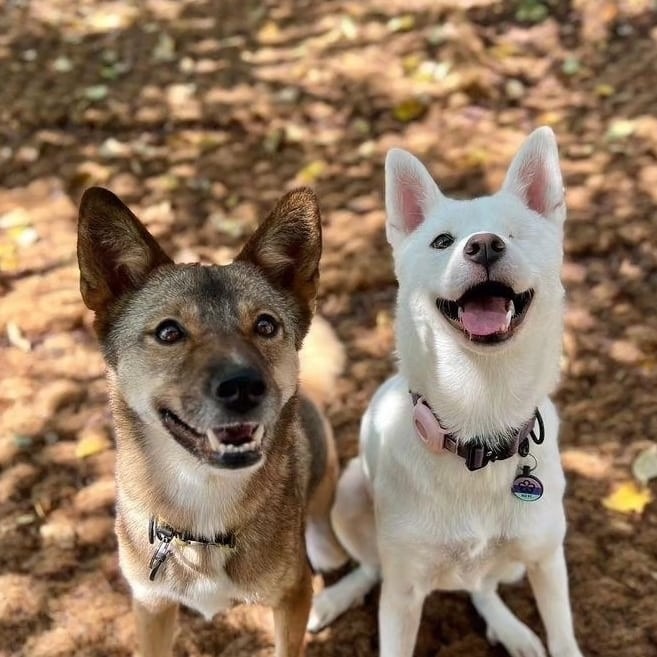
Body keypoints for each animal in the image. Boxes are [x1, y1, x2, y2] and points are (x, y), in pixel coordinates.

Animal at [76, 186, 346, 656]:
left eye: (266, 325)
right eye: (168, 332)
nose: (243, 387)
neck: (203, 504)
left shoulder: (294, 596)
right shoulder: (150, 607)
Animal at [310, 128, 580, 656]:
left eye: (514, 234)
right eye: (442, 242)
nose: (485, 246)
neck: (481, 411)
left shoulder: (547, 563)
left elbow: (563, 636)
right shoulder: (403, 594)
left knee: (484, 586)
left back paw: (511, 630)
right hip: (350, 496)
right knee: (372, 567)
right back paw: (333, 598)